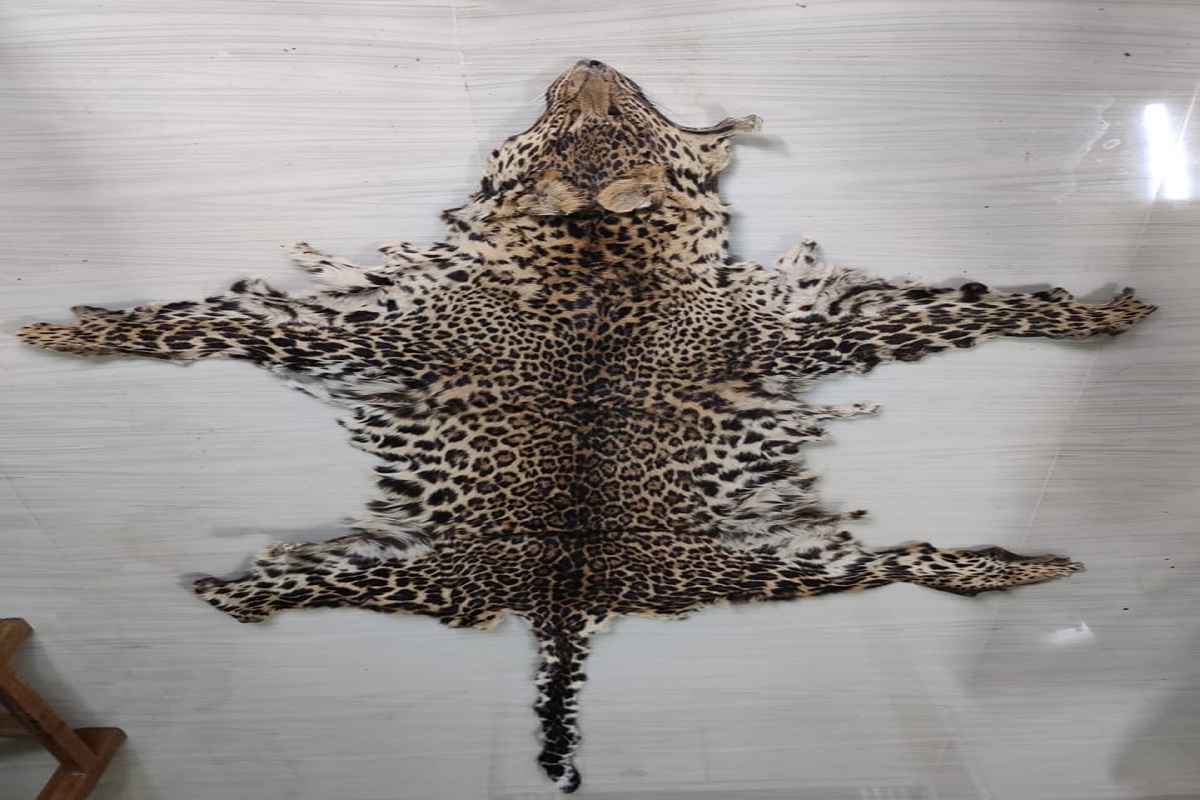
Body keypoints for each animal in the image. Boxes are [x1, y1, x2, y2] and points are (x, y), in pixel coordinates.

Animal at [17, 60, 1156, 793]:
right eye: (561, 120)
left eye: (628, 111)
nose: (591, 60)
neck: (600, 249)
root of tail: (563, 600)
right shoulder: (391, 325)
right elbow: (206, 322)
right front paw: (71, 329)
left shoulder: (787, 325)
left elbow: (968, 310)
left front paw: (1099, 313)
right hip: (391, 571)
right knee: (280, 590)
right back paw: (213, 588)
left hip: (794, 566)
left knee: (920, 565)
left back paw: (1027, 565)